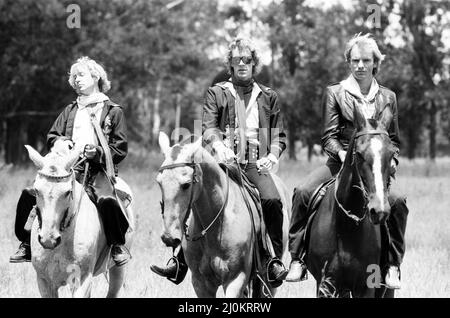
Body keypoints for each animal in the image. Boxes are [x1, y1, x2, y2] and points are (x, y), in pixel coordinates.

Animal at [25, 145, 134, 298]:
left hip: (118, 270)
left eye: (67, 192)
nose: (48, 239)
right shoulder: (44, 281)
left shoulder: (82, 278)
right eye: (36, 190)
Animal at [157, 132, 292, 298]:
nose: (168, 237)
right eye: (159, 183)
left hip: (268, 282)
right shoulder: (200, 283)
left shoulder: (236, 279)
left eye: (186, 184)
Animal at [308, 106, 396, 298]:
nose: (379, 210)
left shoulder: (366, 285)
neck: (347, 226)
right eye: (360, 154)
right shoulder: (326, 283)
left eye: (391, 154)